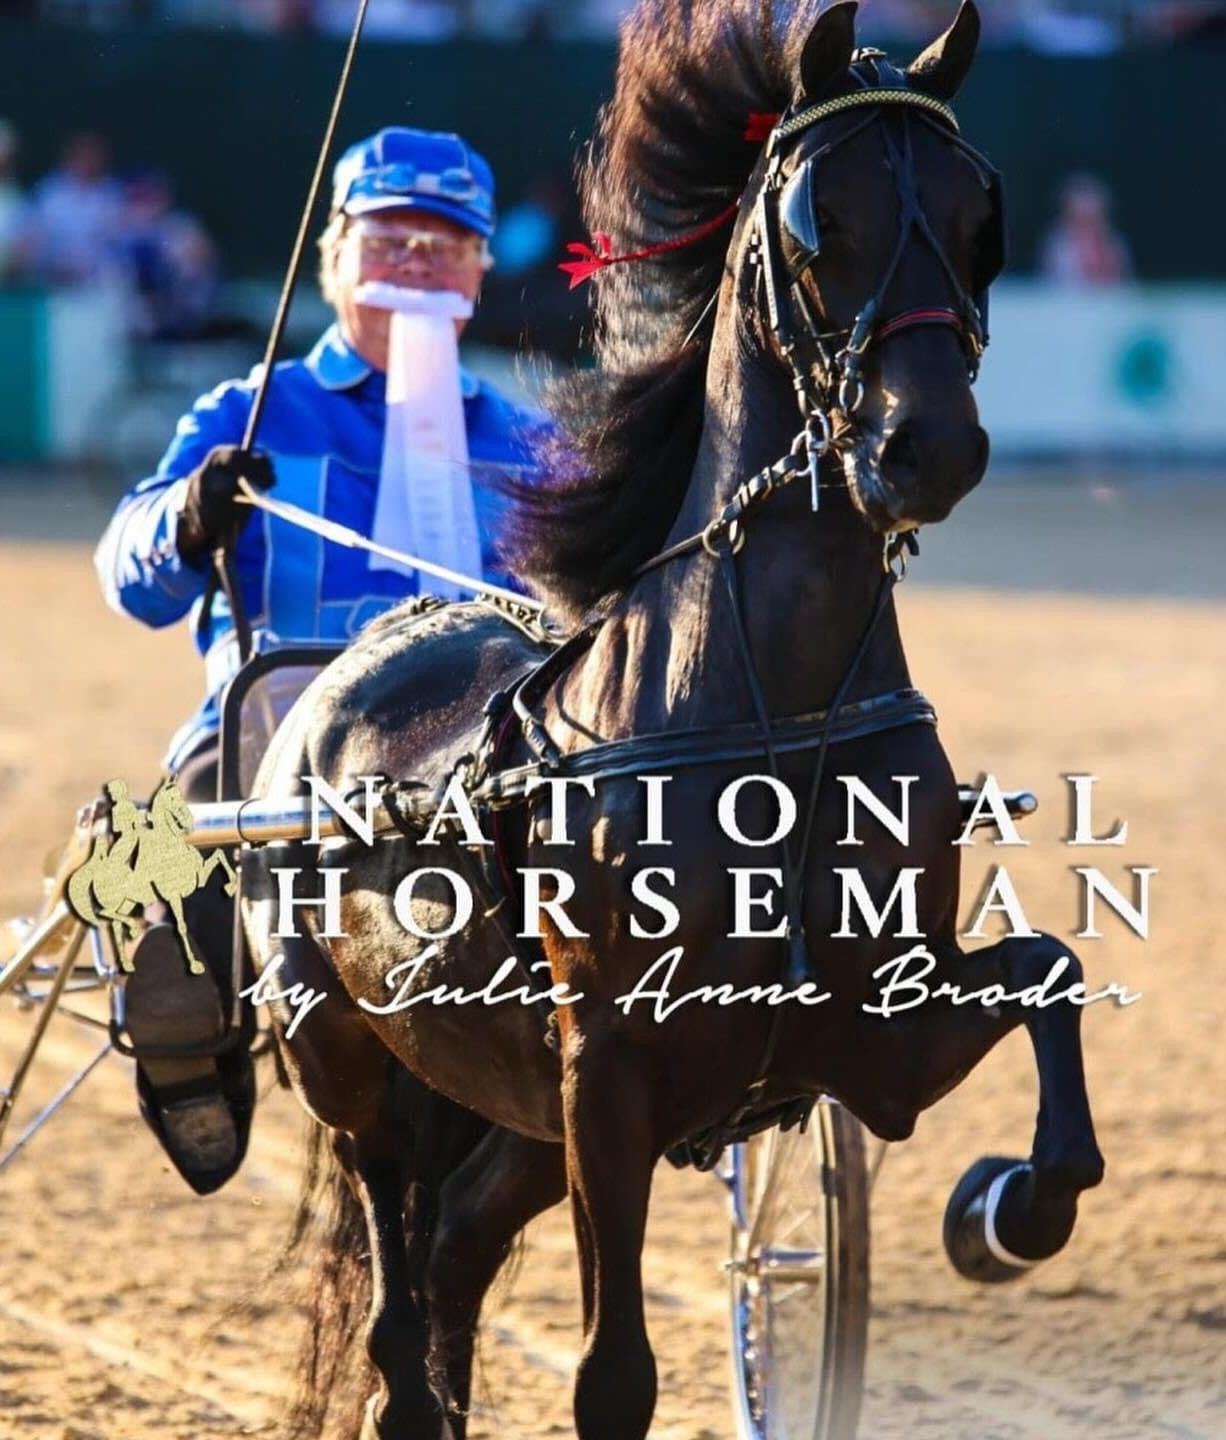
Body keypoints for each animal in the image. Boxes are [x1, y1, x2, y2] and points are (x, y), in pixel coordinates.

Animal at [244, 5, 1106, 1434]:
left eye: (976, 210)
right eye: (818, 218)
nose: (926, 447)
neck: (768, 721)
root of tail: (357, 658)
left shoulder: (864, 1038)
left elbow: (1047, 977)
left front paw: (1008, 1207)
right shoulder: (603, 1071)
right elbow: (614, 1380)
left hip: (514, 1113)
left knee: (453, 1246)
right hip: (353, 1051)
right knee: (389, 1233)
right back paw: (403, 1377)